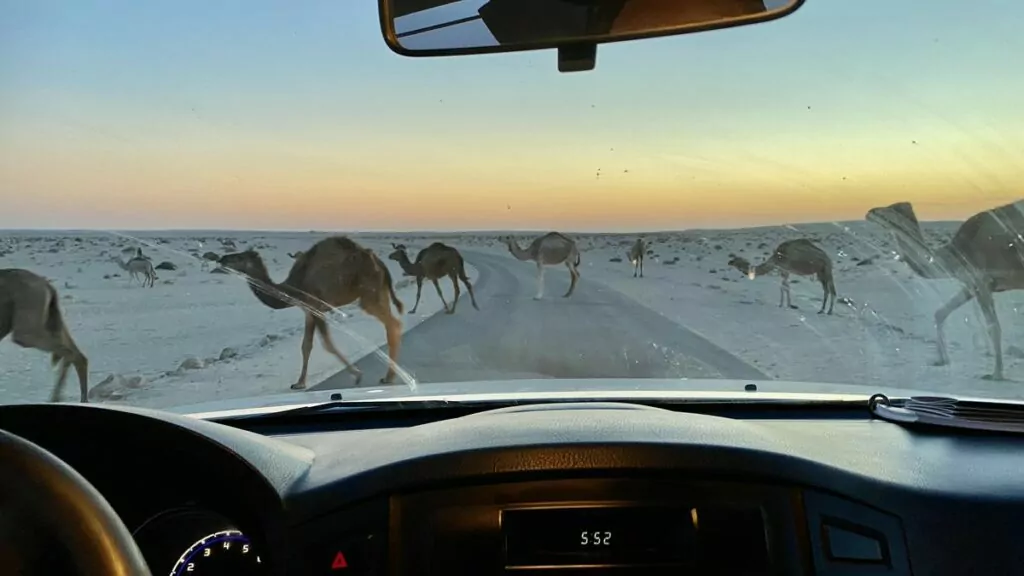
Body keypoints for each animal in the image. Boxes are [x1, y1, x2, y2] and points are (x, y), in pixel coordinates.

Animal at [219, 235, 403, 387]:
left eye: (238, 257)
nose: (222, 258)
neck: (295, 285)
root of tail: (380, 263)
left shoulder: (316, 305)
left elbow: (327, 343)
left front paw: (357, 374)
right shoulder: (308, 311)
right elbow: (306, 345)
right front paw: (299, 383)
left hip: (369, 292)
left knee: (393, 323)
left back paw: (389, 377)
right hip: (380, 291)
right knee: (391, 324)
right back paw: (390, 376)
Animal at [864, 199, 1024, 379]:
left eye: (894, 209)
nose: (870, 212)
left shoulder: (982, 281)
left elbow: (994, 328)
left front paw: (996, 373)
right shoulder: (971, 284)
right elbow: (940, 313)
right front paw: (941, 360)